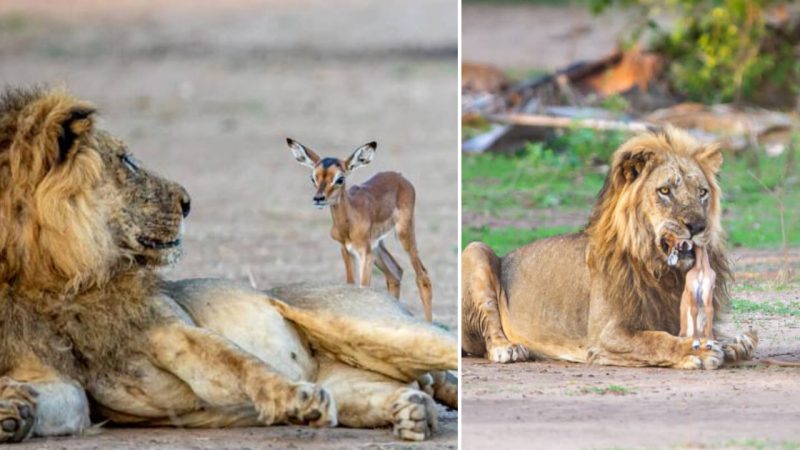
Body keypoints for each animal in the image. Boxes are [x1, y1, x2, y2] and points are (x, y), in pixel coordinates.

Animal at [288, 137, 434, 320]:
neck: (349, 224)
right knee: (396, 272)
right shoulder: (346, 250)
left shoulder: (365, 253)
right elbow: (351, 286)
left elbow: (363, 290)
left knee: (422, 277)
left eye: (340, 178)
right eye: (313, 177)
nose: (318, 198)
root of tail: (400, 176)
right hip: (377, 246)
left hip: (403, 234)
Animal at [462, 125, 756, 370]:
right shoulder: (606, 334)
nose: (697, 226)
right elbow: (656, 340)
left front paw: (734, 343)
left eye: (702, 192)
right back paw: (507, 348)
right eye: (664, 191)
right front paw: (698, 350)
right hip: (475, 250)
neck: (663, 271)